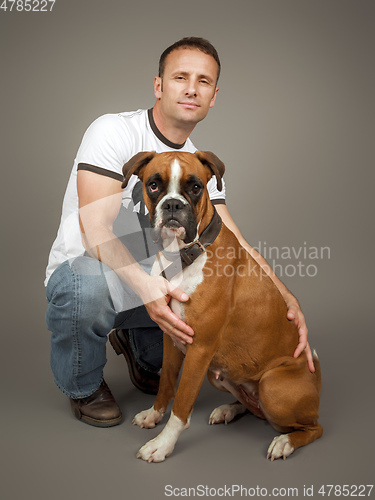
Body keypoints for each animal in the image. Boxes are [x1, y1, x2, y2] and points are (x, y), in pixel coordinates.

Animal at [122, 150, 322, 462]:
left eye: (195, 187)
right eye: (153, 185)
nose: (173, 205)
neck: (183, 255)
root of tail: (318, 381)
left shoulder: (199, 349)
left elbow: (182, 403)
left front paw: (162, 444)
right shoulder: (171, 337)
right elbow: (167, 384)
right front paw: (153, 415)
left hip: (271, 384)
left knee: (313, 428)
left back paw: (285, 442)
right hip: (219, 375)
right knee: (256, 410)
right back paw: (229, 409)